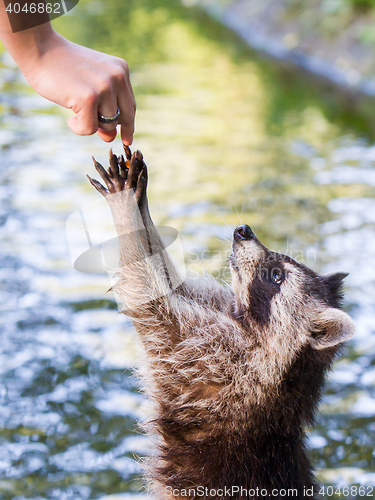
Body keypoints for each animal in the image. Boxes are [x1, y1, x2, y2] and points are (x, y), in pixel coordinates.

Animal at [88, 146, 356, 500]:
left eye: (277, 276)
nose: (244, 231)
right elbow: (173, 285)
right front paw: (139, 203)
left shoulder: (210, 363)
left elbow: (147, 296)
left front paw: (123, 208)